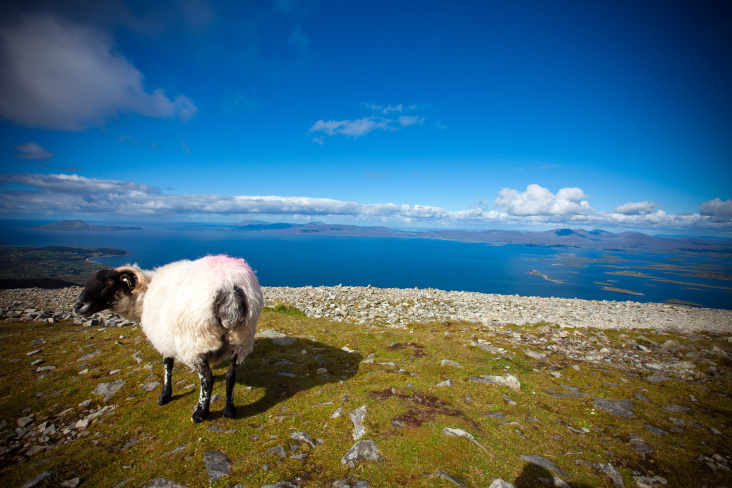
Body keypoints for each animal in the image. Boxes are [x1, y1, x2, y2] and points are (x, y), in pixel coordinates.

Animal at [73, 254, 264, 422]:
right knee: (231, 375)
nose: (77, 306)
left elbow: (167, 364)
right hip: (241, 338)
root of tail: (229, 286)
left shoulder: (163, 337)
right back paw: (229, 411)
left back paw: (200, 414)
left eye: (110, 282)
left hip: (195, 340)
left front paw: (165, 394)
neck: (143, 297)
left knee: (207, 379)